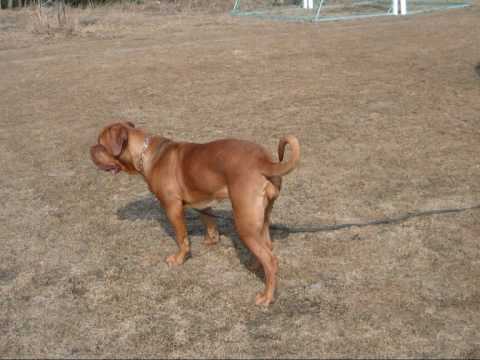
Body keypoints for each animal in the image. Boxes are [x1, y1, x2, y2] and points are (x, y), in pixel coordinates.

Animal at [90, 122, 298, 306]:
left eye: (100, 144)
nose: (90, 149)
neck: (146, 153)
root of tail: (264, 161)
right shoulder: (203, 202)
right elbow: (209, 222)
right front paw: (211, 240)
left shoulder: (172, 207)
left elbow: (182, 237)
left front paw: (179, 259)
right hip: (260, 219)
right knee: (268, 246)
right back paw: (255, 265)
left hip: (244, 222)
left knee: (271, 260)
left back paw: (267, 297)